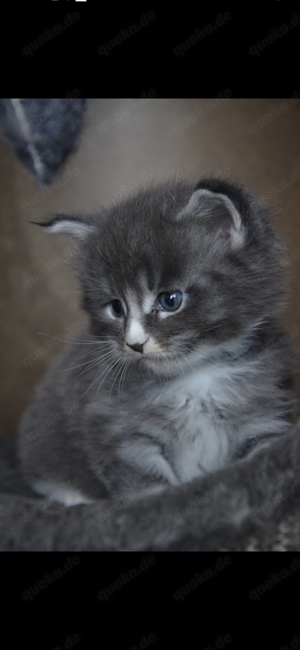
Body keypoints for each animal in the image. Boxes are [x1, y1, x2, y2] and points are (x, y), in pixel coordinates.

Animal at [17, 178, 296, 506]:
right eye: (117, 308)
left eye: (170, 300)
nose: (134, 344)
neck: (196, 376)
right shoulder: (118, 431)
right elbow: (147, 492)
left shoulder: (265, 415)